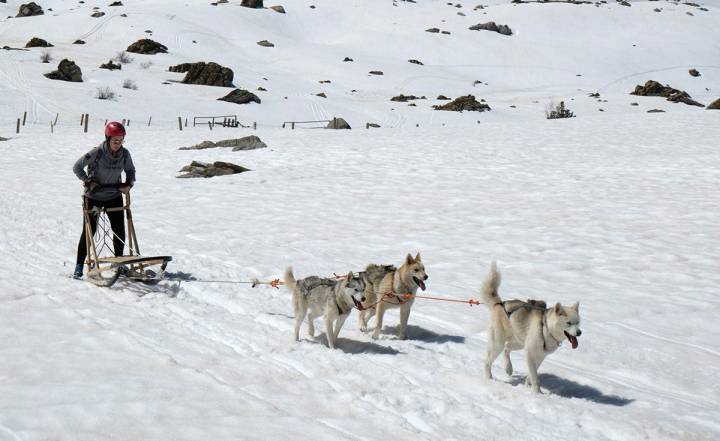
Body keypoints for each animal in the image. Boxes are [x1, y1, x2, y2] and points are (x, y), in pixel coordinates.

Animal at [480, 262, 584, 392]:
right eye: (568, 323)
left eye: (578, 322)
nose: (579, 333)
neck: (546, 329)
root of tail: (499, 304)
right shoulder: (530, 354)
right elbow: (534, 376)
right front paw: (536, 392)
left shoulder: (540, 356)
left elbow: (531, 374)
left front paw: (526, 385)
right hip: (497, 343)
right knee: (488, 361)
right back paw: (488, 377)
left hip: (519, 343)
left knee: (506, 349)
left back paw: (509, 368)